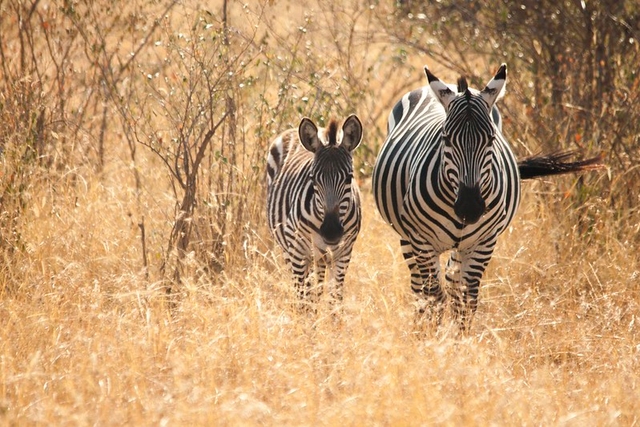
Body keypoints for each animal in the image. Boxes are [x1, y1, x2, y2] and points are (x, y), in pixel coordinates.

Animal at [266, 115, 364, 310]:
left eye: (349, 177)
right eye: (313, 178)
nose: (331, 232)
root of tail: (291, 131)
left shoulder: (344, 253)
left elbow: (335, 300)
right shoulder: (297, 249)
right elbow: (304, 299)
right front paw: (305, 318)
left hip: (319, 255)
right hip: (290, 250)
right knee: (303, 289)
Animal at [372, 64, 604, 332]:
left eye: (491, 139)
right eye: (446, 139)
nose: (470, 208)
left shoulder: (483, 243)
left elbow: (465, 301)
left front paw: (460, 342)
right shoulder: (421, 240)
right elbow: (433, 298)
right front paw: (430, 339)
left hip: (462, 245)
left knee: (453, 283)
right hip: (407, 238)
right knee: (421, 288)